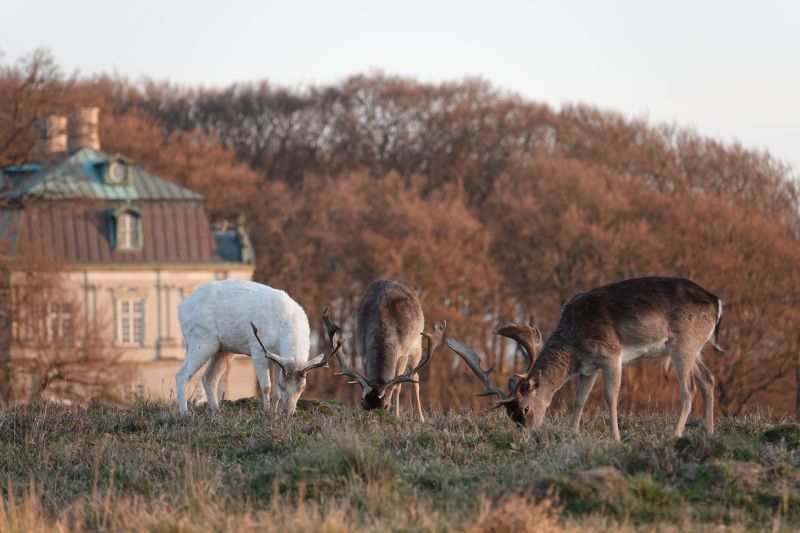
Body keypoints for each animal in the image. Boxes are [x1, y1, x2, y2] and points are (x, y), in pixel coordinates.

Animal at [176, 279, 337, 416]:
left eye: (303, 387)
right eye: (283, 385)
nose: (288, 412)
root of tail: (181, 308)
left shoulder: (278, 358)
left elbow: (276, 393)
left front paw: (274, 414)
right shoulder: (258, 349)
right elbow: (266, 386)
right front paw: (266, 412)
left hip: (223, 350)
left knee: (209, 378)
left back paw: (216, 411)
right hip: (201, 340)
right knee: (182, 374)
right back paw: (184, 413)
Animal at [322, 280, 446, 422]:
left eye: (386, 406)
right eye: (363, 403)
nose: (375, 418)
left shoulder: (403, 353)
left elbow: (397, 386)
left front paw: (396, 415)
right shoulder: (362, 353)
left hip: (417, 347)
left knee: (415, 377)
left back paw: (421, 418)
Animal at [447, 277, 723, 440]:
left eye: (525, 408)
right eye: (509, 414)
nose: (527, 434)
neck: (574, 344)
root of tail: (717, 302)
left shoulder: (611, 354)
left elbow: (611, 397)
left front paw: (615, 437)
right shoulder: (589, 368)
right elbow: (580, 399)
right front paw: (573, 432)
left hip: (683, 343)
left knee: (689, 389)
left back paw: (675, 434)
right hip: (695, 347)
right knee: (708, 379)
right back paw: (709, 433)